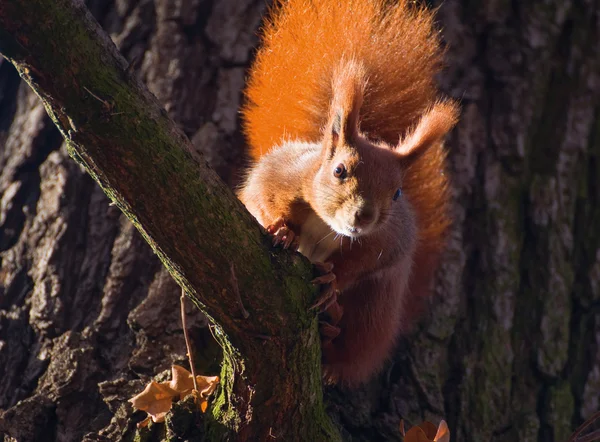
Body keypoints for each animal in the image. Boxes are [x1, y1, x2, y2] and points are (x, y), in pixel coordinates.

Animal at [237, 0, 458, 386]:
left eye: (397, 193)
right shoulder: (279, 175)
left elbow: (365, 262)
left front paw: (332, 279)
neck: (325, 225)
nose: (364, 216)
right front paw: (281, 228)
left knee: (354, 349)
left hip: (374, 309)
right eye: (339, 170)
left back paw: (333, 335)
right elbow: (258, 197)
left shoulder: (389, 239)